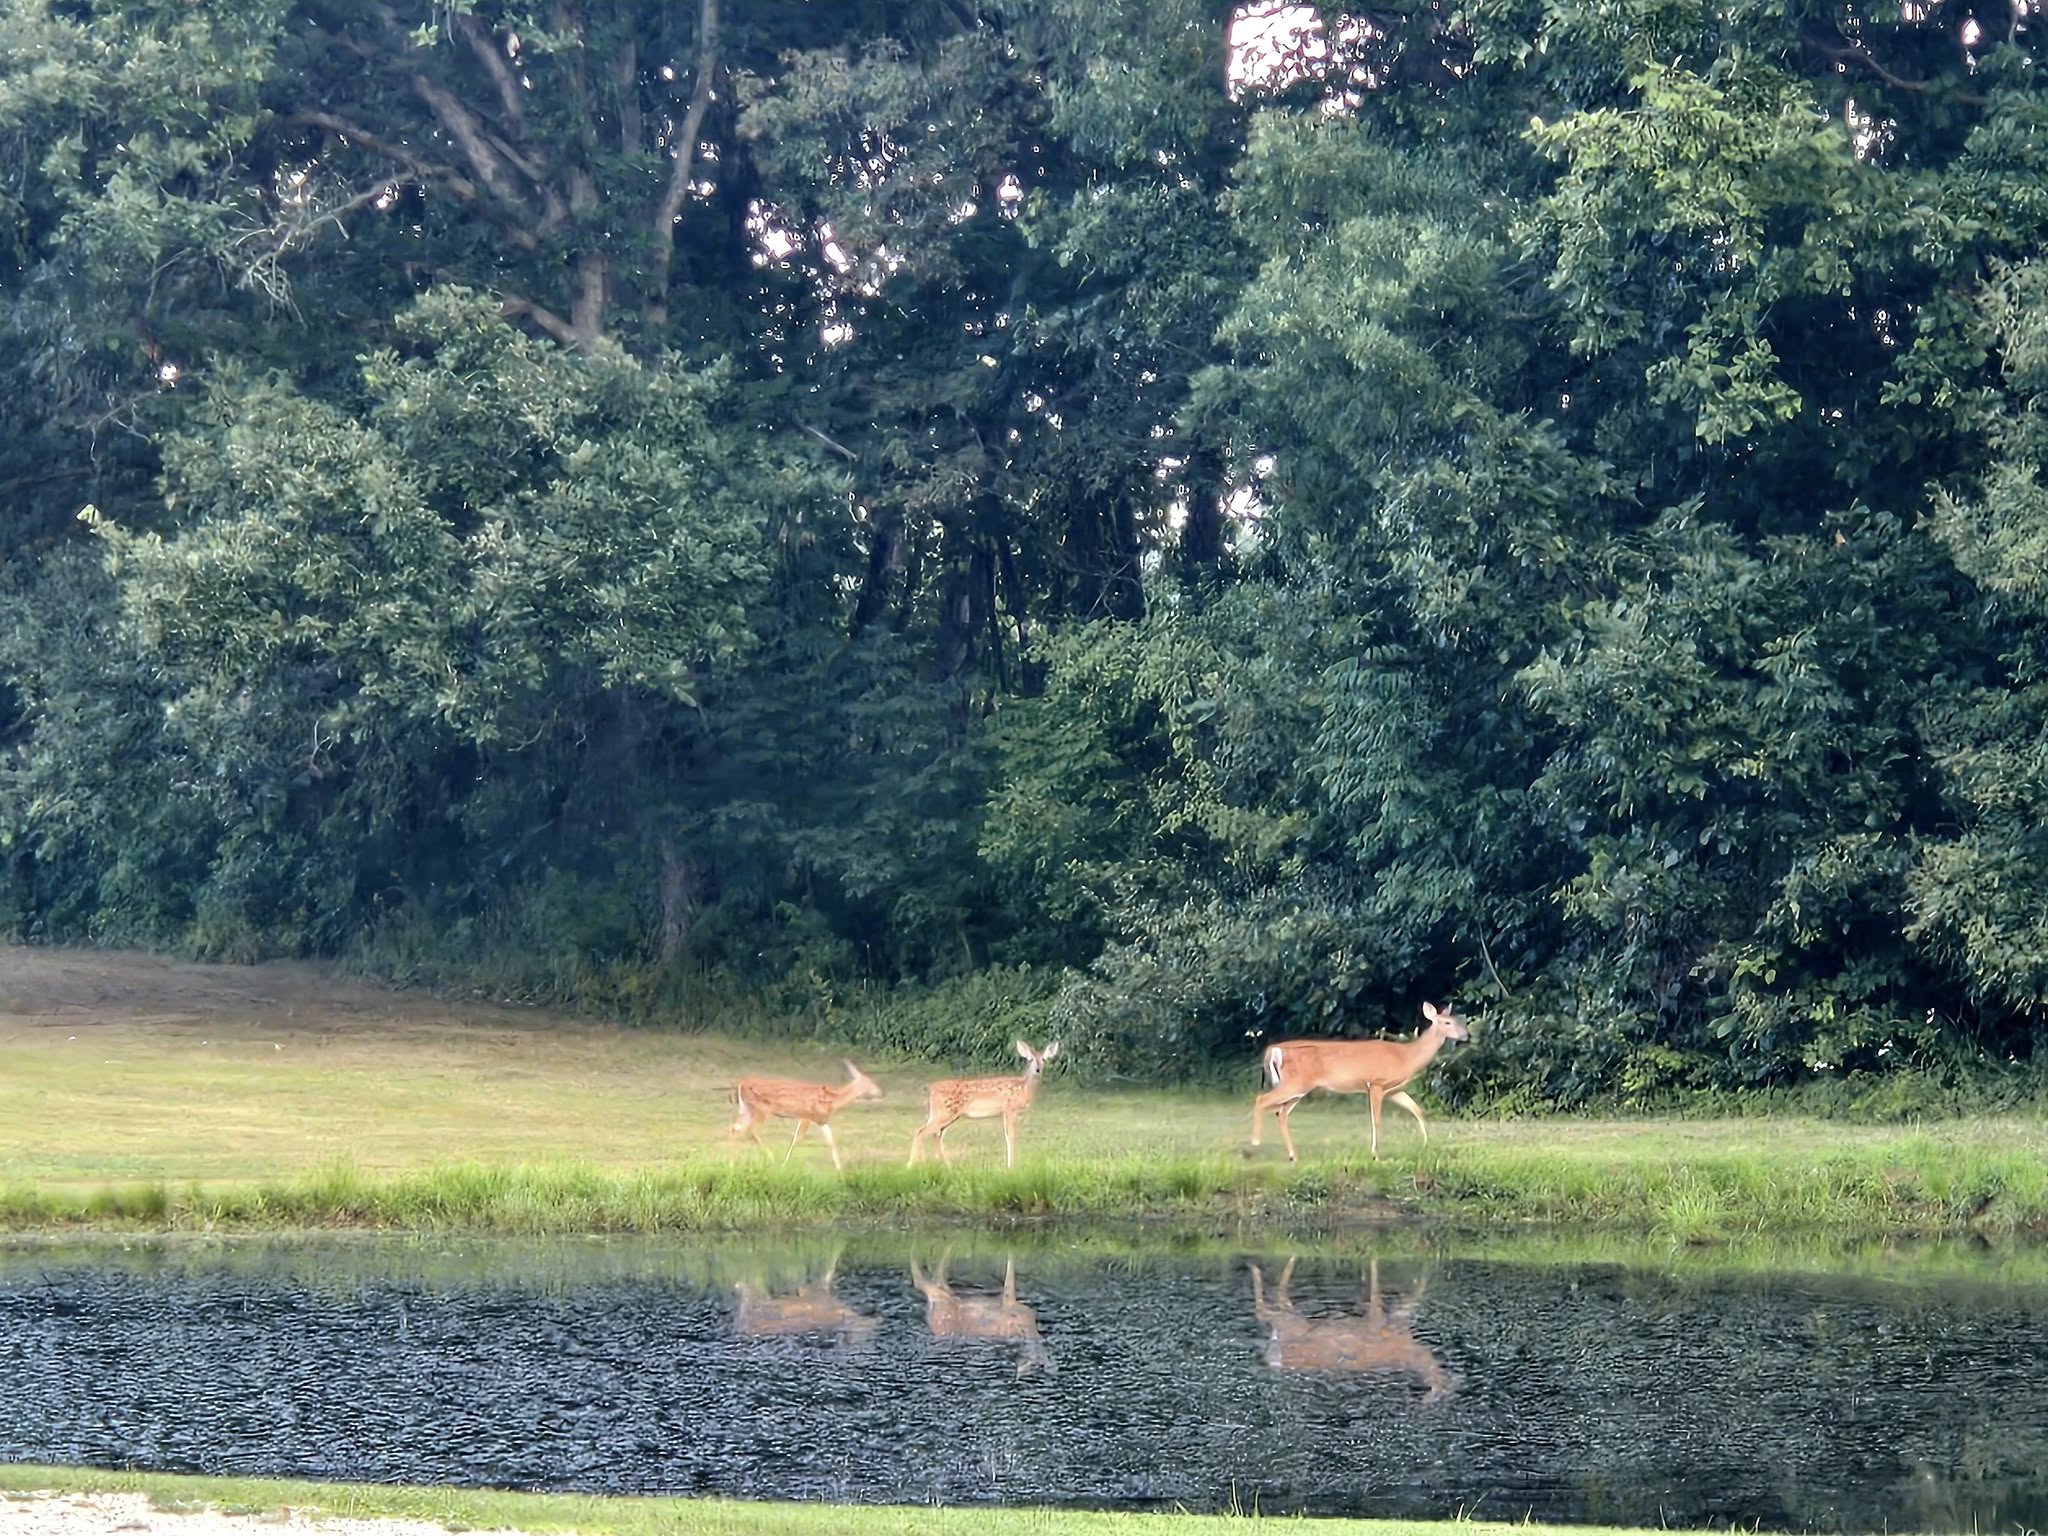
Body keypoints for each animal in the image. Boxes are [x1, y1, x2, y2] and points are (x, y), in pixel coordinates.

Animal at [728, 1060, 883, 1171]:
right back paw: (768, 1158)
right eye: (871, 1082)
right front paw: (784, 1164)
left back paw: (732, 1159)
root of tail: (740, 1085)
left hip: (747, 1109)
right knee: (747, 1129)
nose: (881, 1092)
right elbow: (797, 1139)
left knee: (736, 1126)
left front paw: (840, 1169)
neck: (832, 1101)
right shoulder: (807, 1115)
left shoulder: (821, 1120)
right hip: (761, 1109)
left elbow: (831, 1141)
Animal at [906, 1039, 1059, 1168]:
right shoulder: (1009, 1108)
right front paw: (1010, 1166)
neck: (1023, 1088)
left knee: (935, 1134)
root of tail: (932, 1089)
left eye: (1044, 1059)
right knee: (921, 1132)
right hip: (945, 1113)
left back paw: (946, 1165)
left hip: (943, 1114)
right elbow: (1011, 1136)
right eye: (1031, 1059)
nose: (1038, 1069)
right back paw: (911, 1165)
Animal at [1248, 1256, 1452, 1400]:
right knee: (1268, 1306)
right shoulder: (1378, 1318)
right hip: (1292, 1322)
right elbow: (1377, 1286)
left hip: (1291, 1322)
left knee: (1268, 1308)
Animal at [1251, 1001, 1469, 1160]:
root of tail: (1274, 1050)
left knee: (1280, 1113)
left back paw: (1292, 1155)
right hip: (1295, 1082)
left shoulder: (1394, 1090)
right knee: (1262, 1100)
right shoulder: (1376, 1083)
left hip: (1297, 1087)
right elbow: (1376, 1120)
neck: (1406, 1057)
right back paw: (1255, 1143)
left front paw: (1426, 1144)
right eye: (1447, 1023)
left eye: (1457, 1020)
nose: (1466, 1035)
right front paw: (1375, 1154)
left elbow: (1417, 1110)